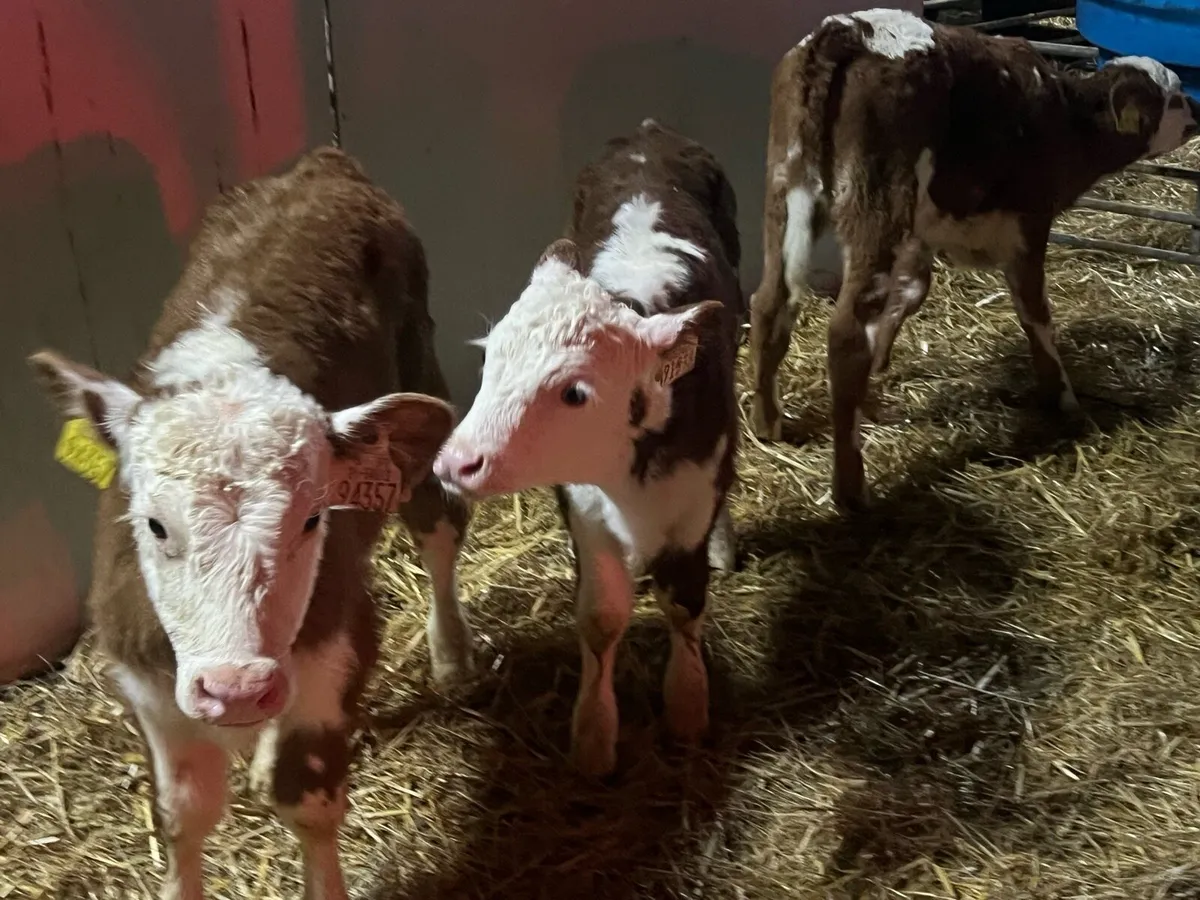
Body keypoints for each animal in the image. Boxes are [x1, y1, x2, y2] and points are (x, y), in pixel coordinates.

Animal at [28, 147, 476, 900]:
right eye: (154, 525)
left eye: (312, 519)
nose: (238, 688)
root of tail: (323, 164)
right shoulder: (147, 680)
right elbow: (182, 811)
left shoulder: (335, 642)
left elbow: (307, 794)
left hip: (419, 381)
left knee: (439, 522)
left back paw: (452, 655)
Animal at [434, 119, 743, 777]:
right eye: (489, 359)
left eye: (576, 392)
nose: (456, 461)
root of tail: (651, 132)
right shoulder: (582, 505)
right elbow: (601, 618)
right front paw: (594, 740)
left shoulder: (694, 494)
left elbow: (684, 602)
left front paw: (688, 708)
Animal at [747, 7, 1200, 510]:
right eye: (1173, 97)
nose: (1196, 113)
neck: (1067, 123)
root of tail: (851, 30)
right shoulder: (1029, 225)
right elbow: (1035, 312)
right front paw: (1062, 399)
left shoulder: (923, 234)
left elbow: (911, 292)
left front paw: (878, 378)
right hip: (877, 204)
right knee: (845, 332)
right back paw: (852, 492)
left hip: (787, 186)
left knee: (771, 302)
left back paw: (769, 424)